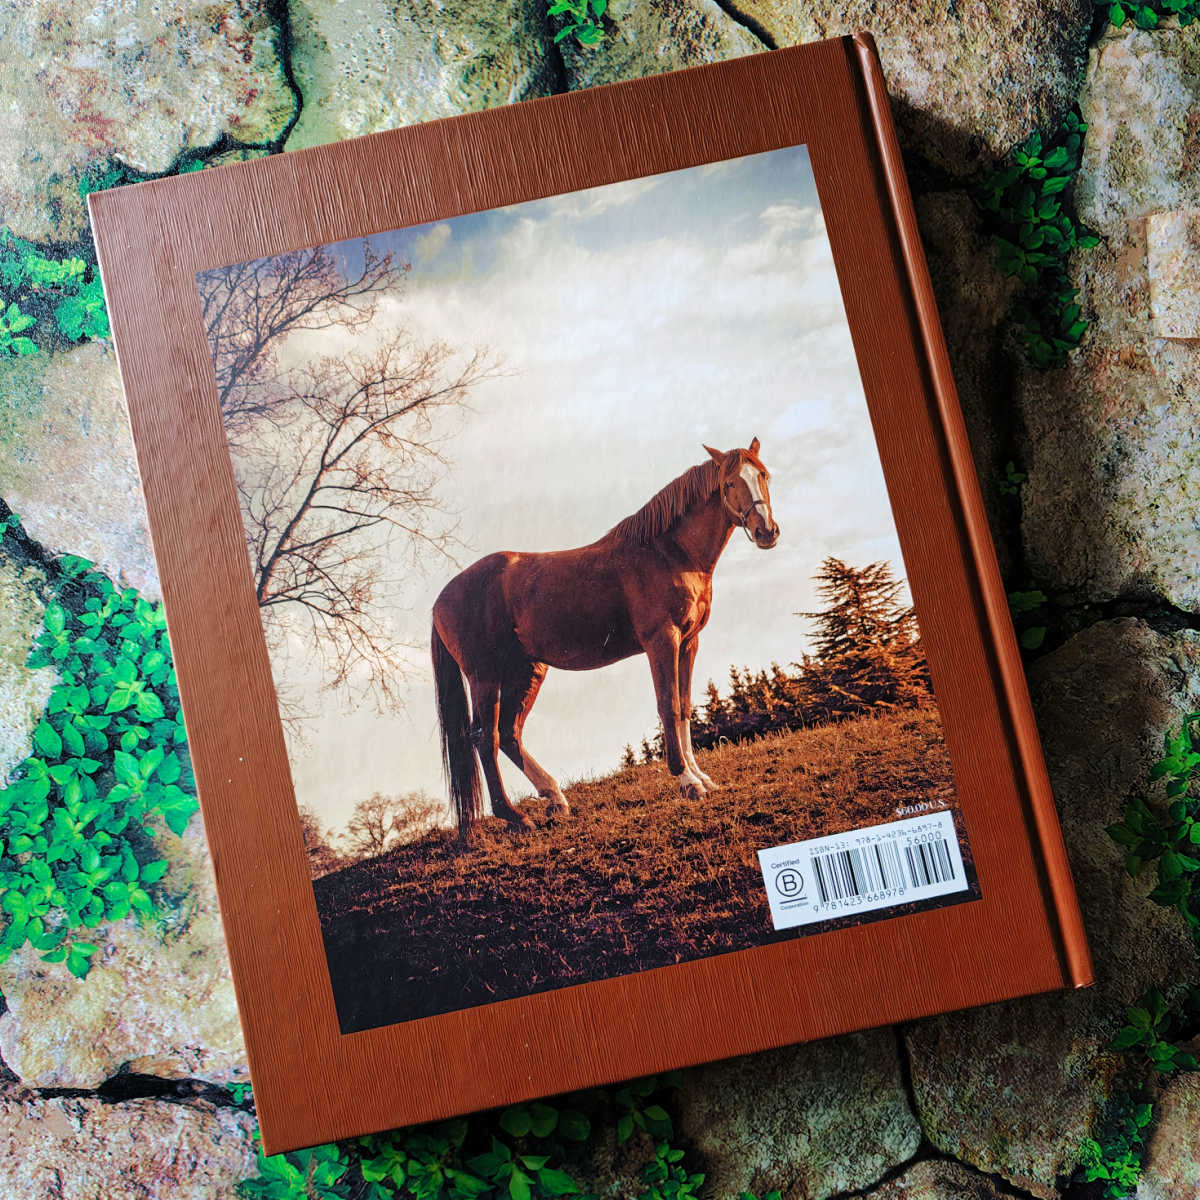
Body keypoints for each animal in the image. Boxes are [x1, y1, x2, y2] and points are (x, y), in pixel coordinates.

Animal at [431, 438, 780, 834]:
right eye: (730, 483)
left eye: (763, 474)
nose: (766, 532)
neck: (669, 552)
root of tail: (440, 600)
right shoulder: (662, 641)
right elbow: (668, 706)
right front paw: (687, 782)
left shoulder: (689, 642)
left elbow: (685, 706)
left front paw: (702, 778)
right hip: (485, 677)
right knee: (485, 737)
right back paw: (517, 817)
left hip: (527, 670)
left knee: (509, 733)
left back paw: (555, 798)